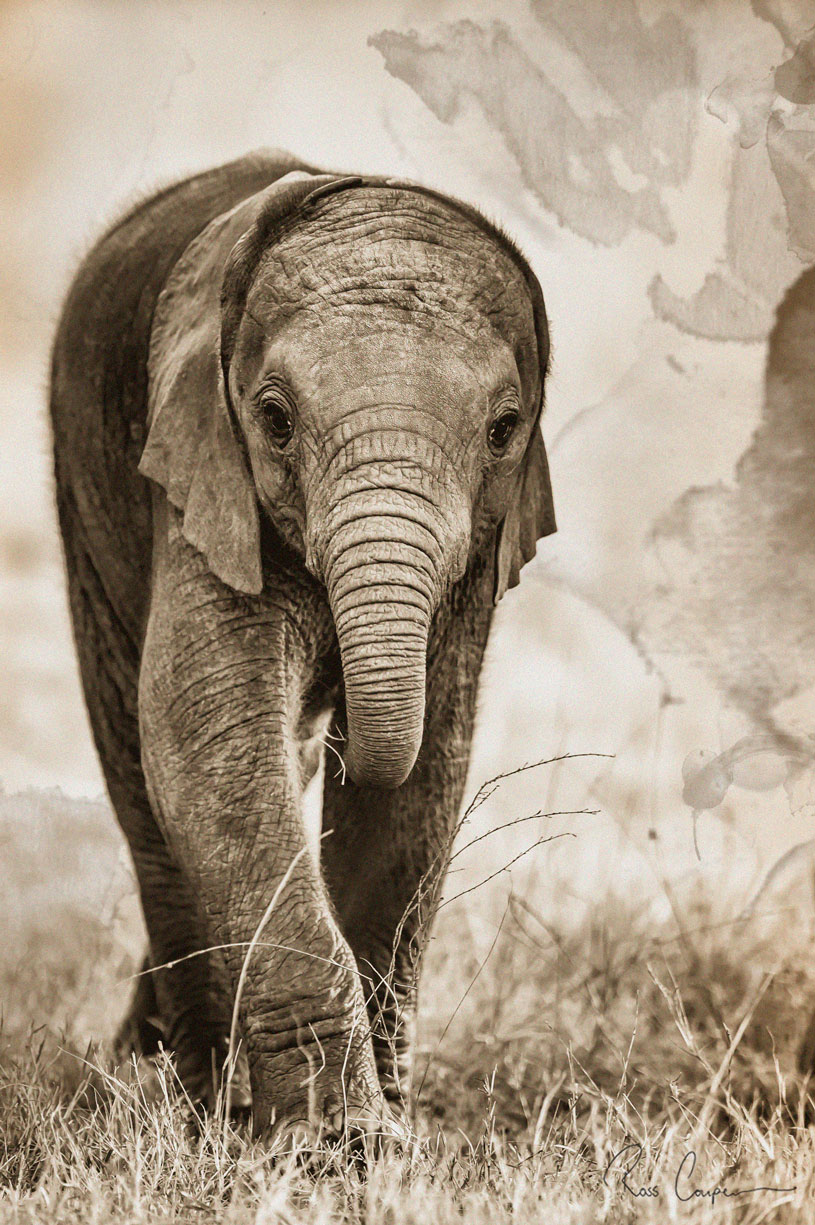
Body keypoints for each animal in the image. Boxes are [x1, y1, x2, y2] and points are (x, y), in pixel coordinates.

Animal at [49, 148, 556, 1140]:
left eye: (502, 429)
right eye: (274, 419)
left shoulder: (476, 555)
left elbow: (426, 776)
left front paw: (382, 1133)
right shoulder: (196, 482)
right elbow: (206, 737)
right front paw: (333, 1144)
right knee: (145, 789)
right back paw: (195, 1101)